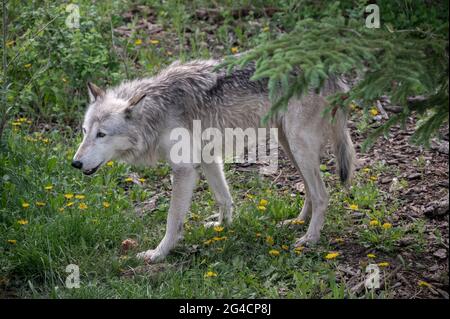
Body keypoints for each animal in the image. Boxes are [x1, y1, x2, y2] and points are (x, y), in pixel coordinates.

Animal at [73, 58, 356, 264]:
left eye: (102, 134)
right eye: (85, 131)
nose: (75, 163)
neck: (157, 112)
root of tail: (333, 73)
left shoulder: (184, 170)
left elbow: (173, 220)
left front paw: (158, 253)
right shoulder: (208, 157)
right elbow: (224, 198)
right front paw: (221, 227)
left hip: (298, 146)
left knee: (322, 195)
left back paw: (309, 238)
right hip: (290, 145)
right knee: (309, 189)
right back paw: (298, 222)